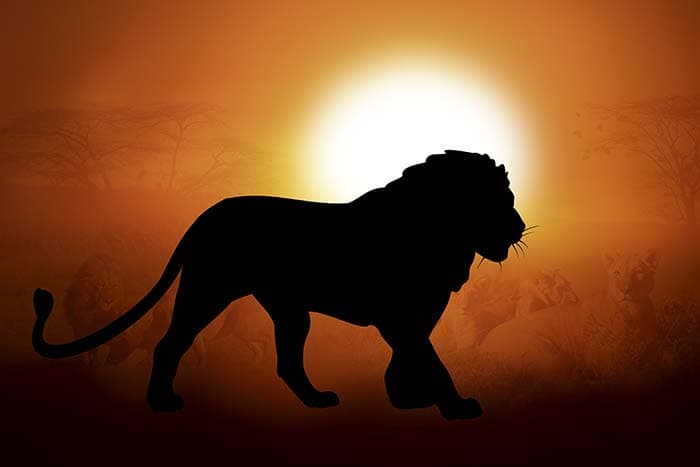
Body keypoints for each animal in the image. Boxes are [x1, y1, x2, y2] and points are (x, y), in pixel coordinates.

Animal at [32, 151, 526, 420]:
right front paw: (457, 408)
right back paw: (162, 402)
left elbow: (411, 358)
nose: (520, 227)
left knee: (287, 363)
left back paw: (317, 399)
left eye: (510, 198)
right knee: (171, 343)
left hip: (289, 311)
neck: (436, 231)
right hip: (209, 290)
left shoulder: (412, 320)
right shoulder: (401, 319)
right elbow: (434, 363)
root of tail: (205, 215)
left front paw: (405, 400)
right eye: (496, 201)